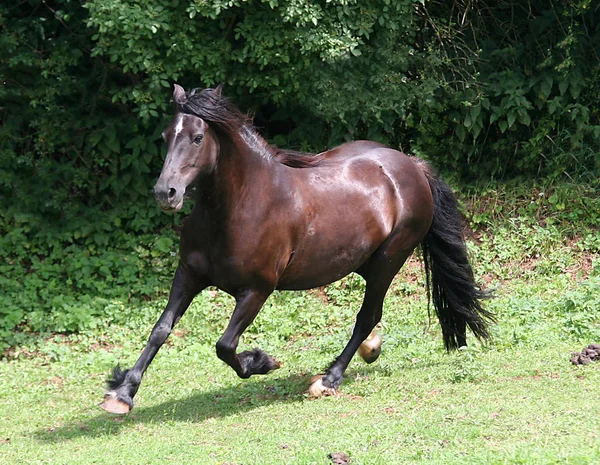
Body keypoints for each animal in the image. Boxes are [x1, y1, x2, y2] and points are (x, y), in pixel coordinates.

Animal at [98, 85, 492, 412]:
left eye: (197, 137)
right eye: (166, 136)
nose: (165, 193)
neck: (239, 207)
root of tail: (412, 165)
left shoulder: (257, 290)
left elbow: (225, 345)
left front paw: (262, 361)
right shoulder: (189, 275)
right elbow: (161, 329)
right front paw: (123, 392)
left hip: (388, 261)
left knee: (367, 316)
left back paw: (329, 379)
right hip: (364, 261)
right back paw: (370, 349)